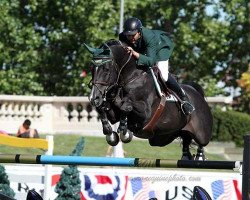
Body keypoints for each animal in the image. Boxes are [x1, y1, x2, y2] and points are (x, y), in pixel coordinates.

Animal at [84, 39, 213, 160]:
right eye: (91, 68)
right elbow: (104, 109)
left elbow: (126, 106)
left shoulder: (145, 112)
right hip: (164, 137)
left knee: (202, 143)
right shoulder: (113, 114)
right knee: (186, 140)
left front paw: (124, 130)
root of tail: (198, 93)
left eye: (106, 69)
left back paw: (200, 155)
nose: (94, 98)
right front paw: (109, 132)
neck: (131, 77)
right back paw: (187, 156)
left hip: (202, 133)